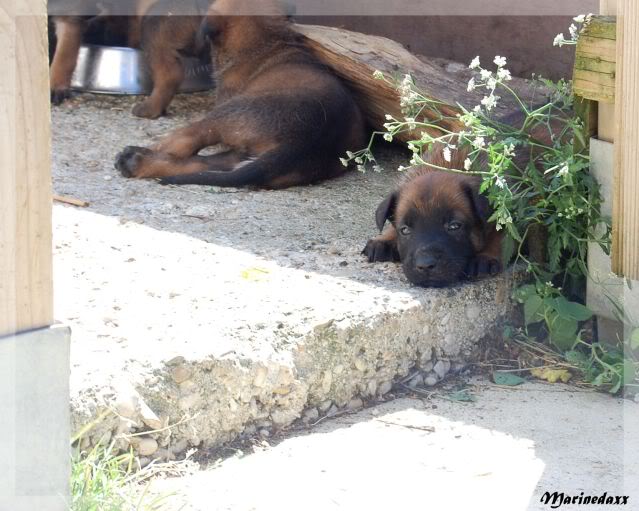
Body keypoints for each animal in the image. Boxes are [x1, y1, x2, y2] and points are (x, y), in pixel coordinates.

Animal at [48, 0, 206, 118]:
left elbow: (63, 57)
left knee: (170, 74)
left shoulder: (68, 16)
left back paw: (150, 108)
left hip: (154, 22)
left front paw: (55, 86)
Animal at [112, 0, 368, 189]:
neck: (265, 42)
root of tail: (304, 142)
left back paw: (139, 155)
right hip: (243, 156)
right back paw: (136, 161)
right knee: (201, 164)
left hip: (226, 115)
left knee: (186, 140)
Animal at [362, 148, 502, 288]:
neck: (446, 165)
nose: (425, 266)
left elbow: (498, 234)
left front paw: (486, 255)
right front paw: (384, 239)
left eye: (454, 226)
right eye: (405, 230)